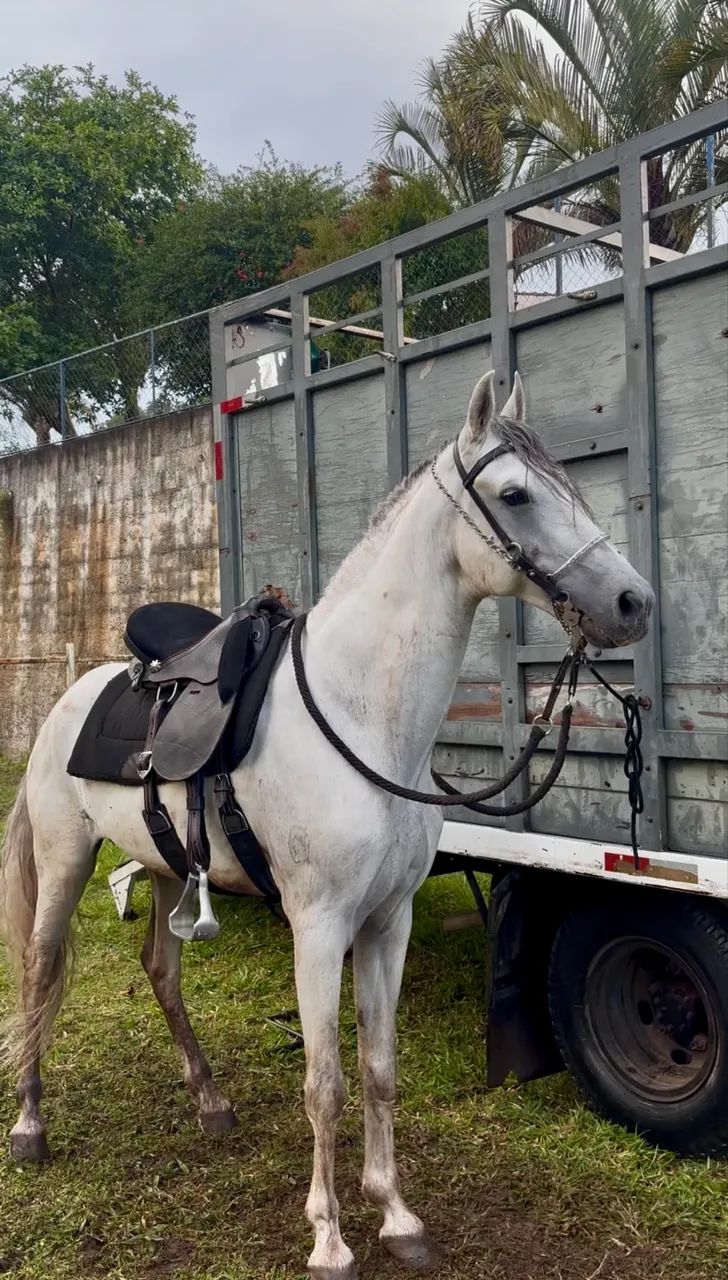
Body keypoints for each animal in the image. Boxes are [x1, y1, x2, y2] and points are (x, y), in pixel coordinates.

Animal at [0, 371, 653, 1279]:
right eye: (516, 495)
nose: (632, 602)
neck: (361, 714)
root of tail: (74, 693)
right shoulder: (318, 926)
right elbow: (326, 1080)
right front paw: (330, 1237)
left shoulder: (388, 922)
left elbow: (378, 1068)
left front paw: (397, 1216)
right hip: (65, 863)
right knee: (39, 971)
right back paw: (31, 1126)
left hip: (166, 869)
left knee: (162, 971)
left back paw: (210, 1101)